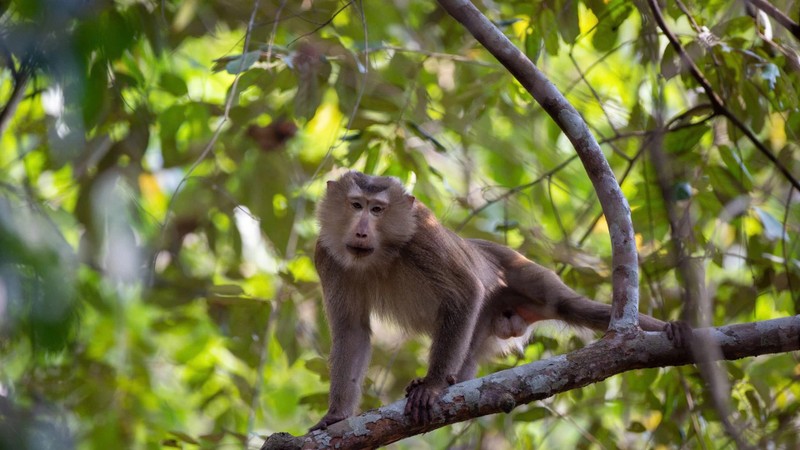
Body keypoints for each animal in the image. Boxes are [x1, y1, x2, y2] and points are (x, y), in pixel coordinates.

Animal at [310, 171, 672, 428]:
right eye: (356, 205)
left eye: (377, 210)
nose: (361, 230)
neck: (382, 253)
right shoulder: (326, 256)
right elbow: (352, 331)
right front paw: (337, 414)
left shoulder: (421, 235)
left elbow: (466, 291)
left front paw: (434, 384)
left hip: (526, 276)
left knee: (568, 306)